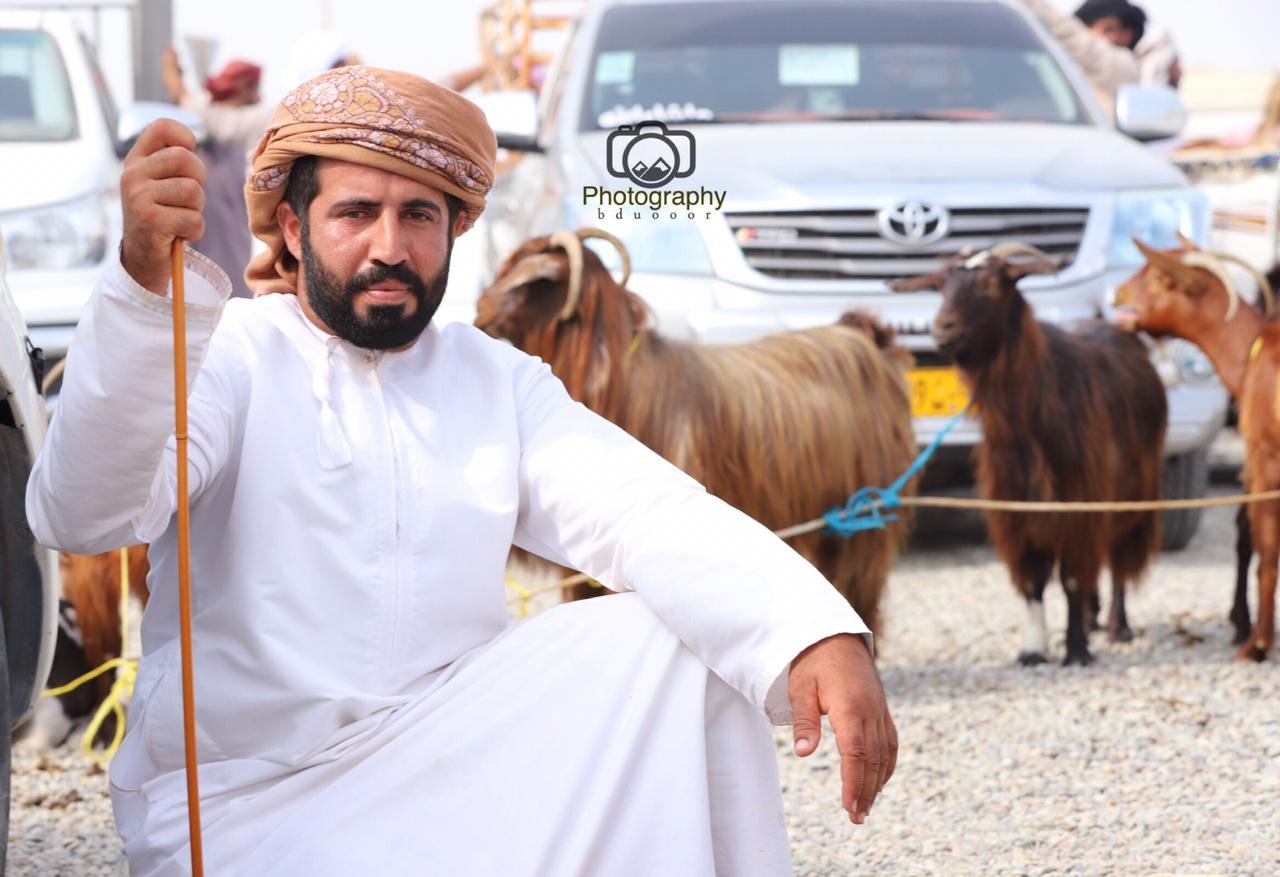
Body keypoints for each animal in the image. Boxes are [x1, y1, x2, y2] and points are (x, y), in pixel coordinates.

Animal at [895, 243, 1167, 665]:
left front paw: (1076, 650)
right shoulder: (1016, 511)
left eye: (992, 285)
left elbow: (1070, 577)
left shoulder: (1078, 503)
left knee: (1119, 559)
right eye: (940, 286)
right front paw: (1033, 649)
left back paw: (1116, 627)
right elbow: (1033, 581)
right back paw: (1091, 619)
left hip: (1136, 493)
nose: (942, 329)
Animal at [1114, 239, 1279, 660]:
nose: (1117, 293)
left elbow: (1264, 547)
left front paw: (1256, 643)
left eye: (1159, 277)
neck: (1251, 352)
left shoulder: (1266, 459)